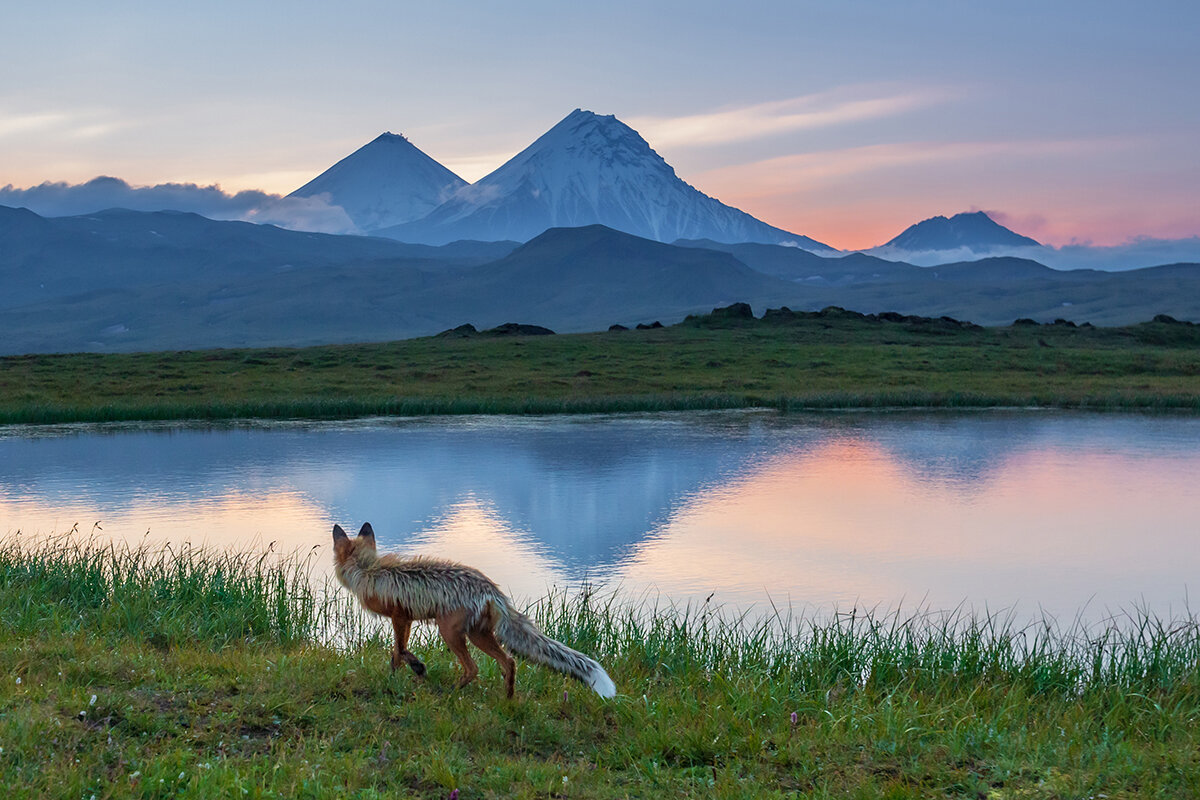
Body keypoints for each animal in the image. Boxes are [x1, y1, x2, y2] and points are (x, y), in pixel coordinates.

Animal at [333, 522, 614, 695]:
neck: (369, 570)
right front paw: (393, 677)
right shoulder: (406, 620)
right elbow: (395, 654)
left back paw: (450, 693)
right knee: (509, 662)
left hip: (451, 633)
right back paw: (508, 699)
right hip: (479, 635)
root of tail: (491, 589)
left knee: (474, 668)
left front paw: (417, 668)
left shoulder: (400, 616)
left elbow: (401, 650)